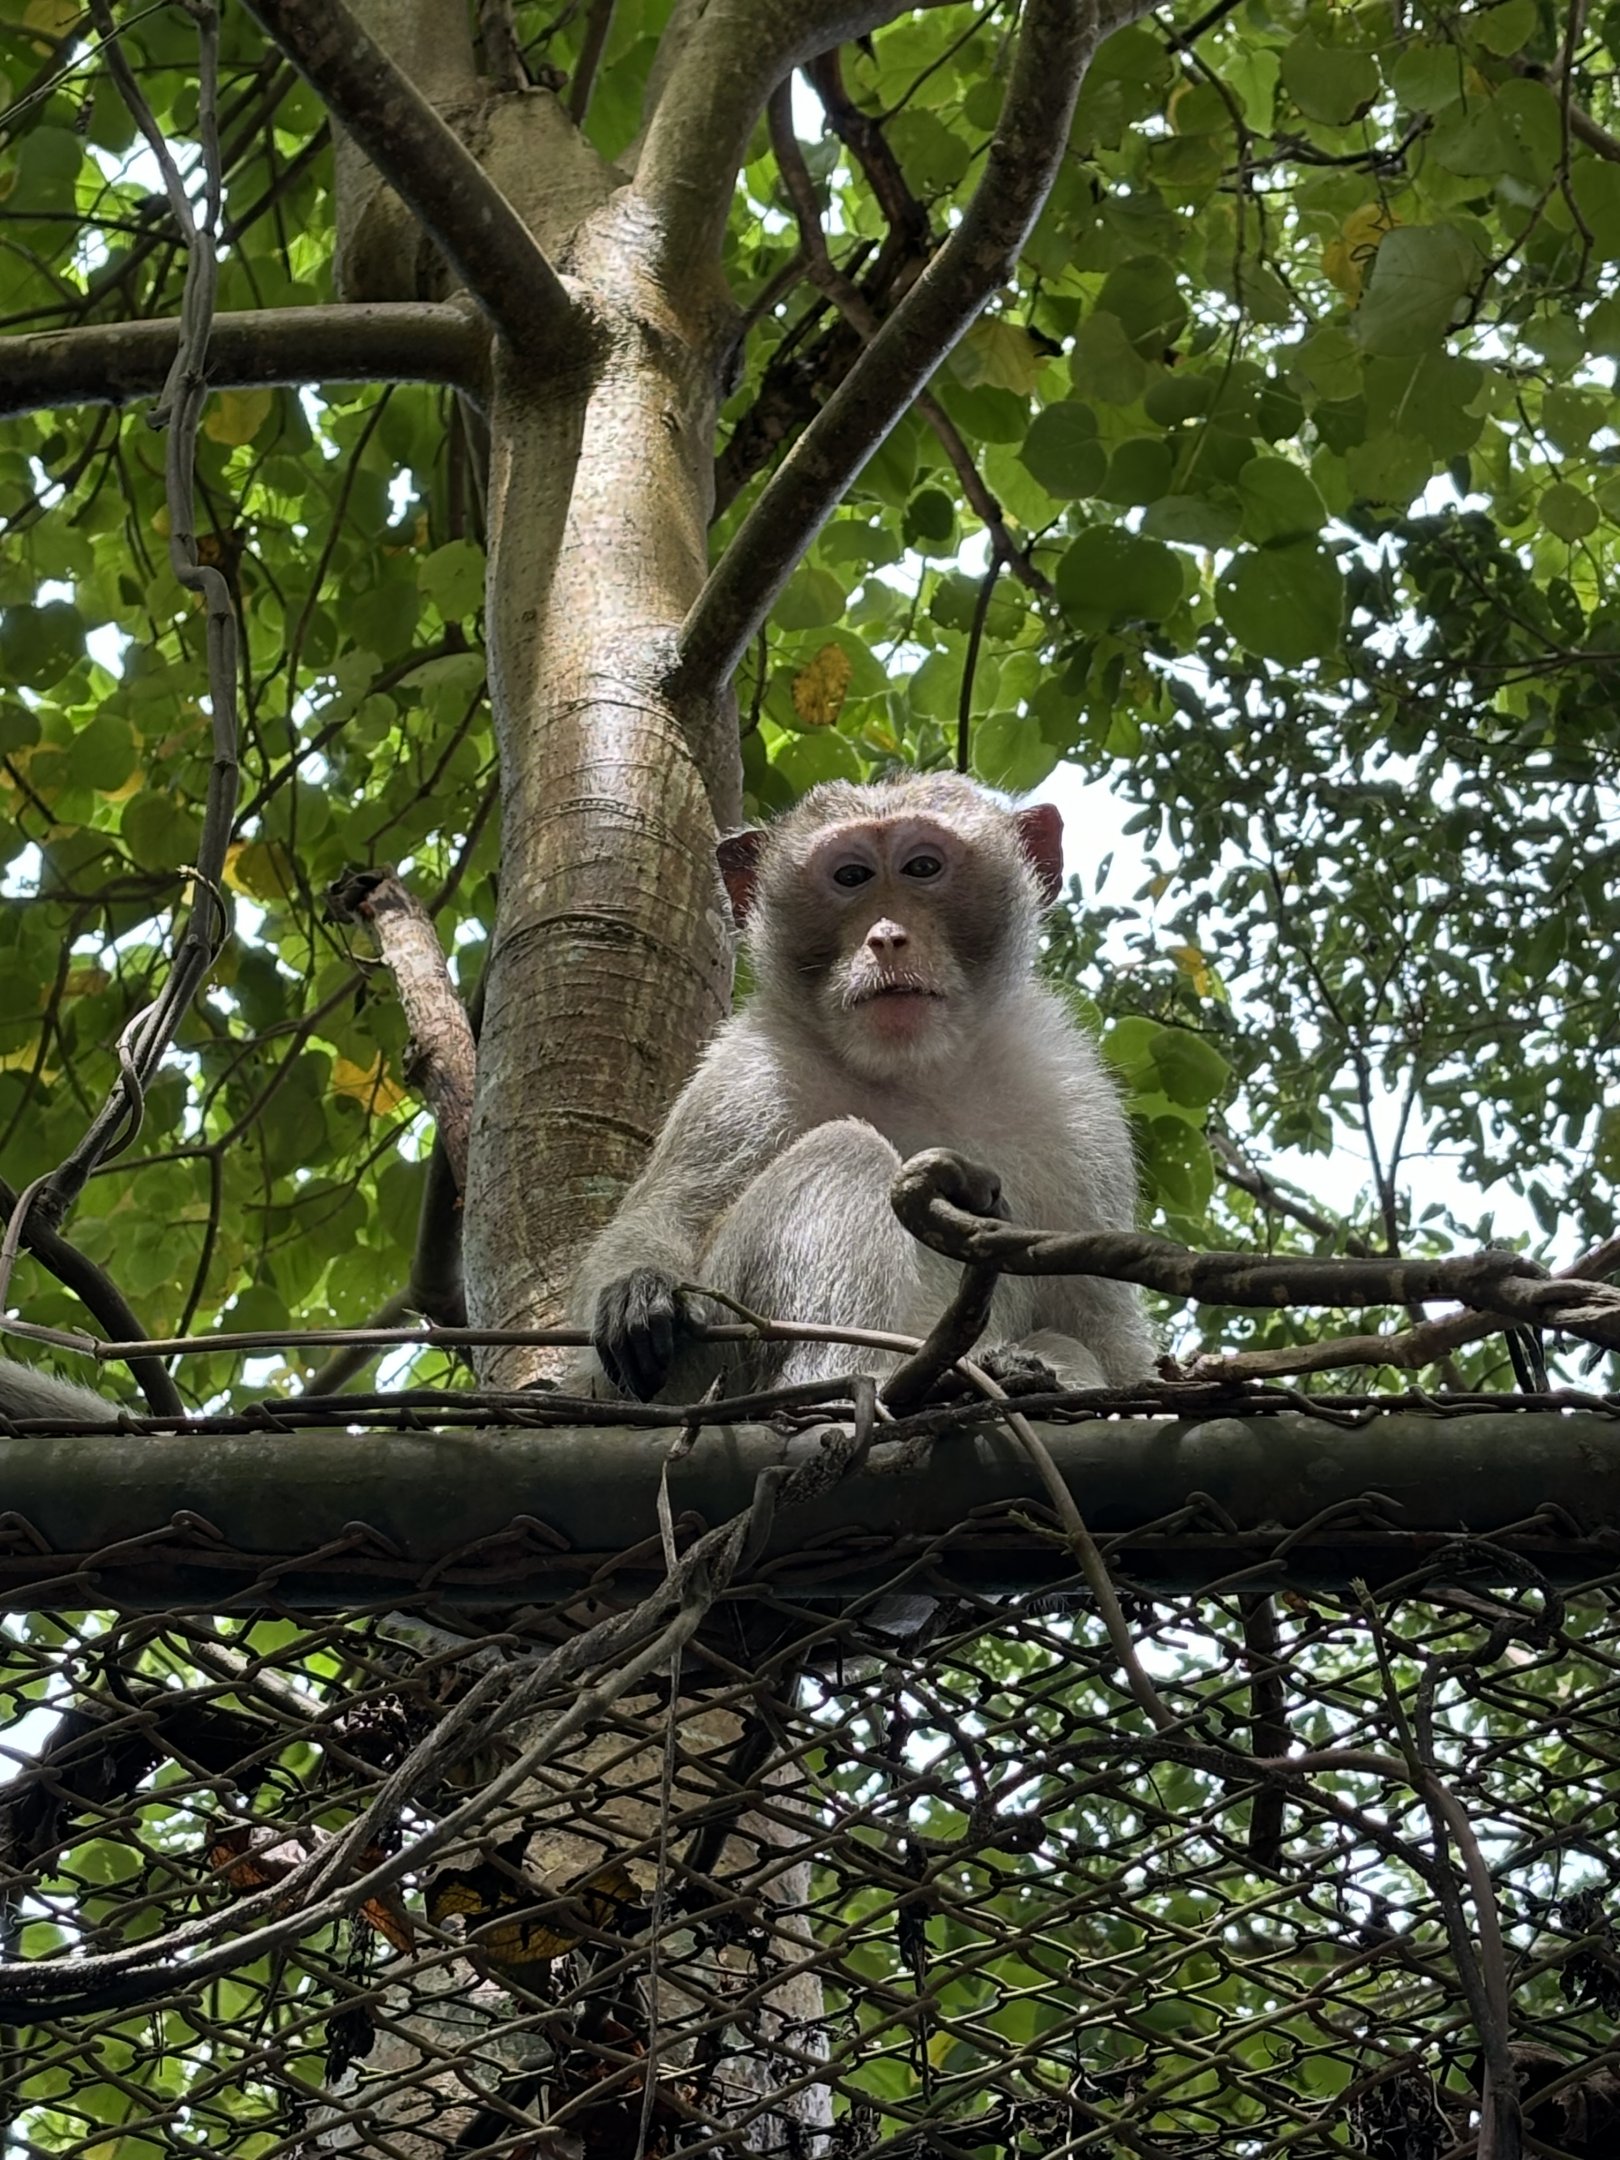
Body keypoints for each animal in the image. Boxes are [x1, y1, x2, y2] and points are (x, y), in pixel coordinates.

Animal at [571, 773, 1155, 1405]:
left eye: (922, 867)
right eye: (852, 877)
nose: (887, 937)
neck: (913, 1071)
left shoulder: (1074, 1102)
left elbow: (1104, 1334)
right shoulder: (743, 1080)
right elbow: (662, 1222)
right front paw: (638, 1286)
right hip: (706, 1364)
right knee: (847, 1151)